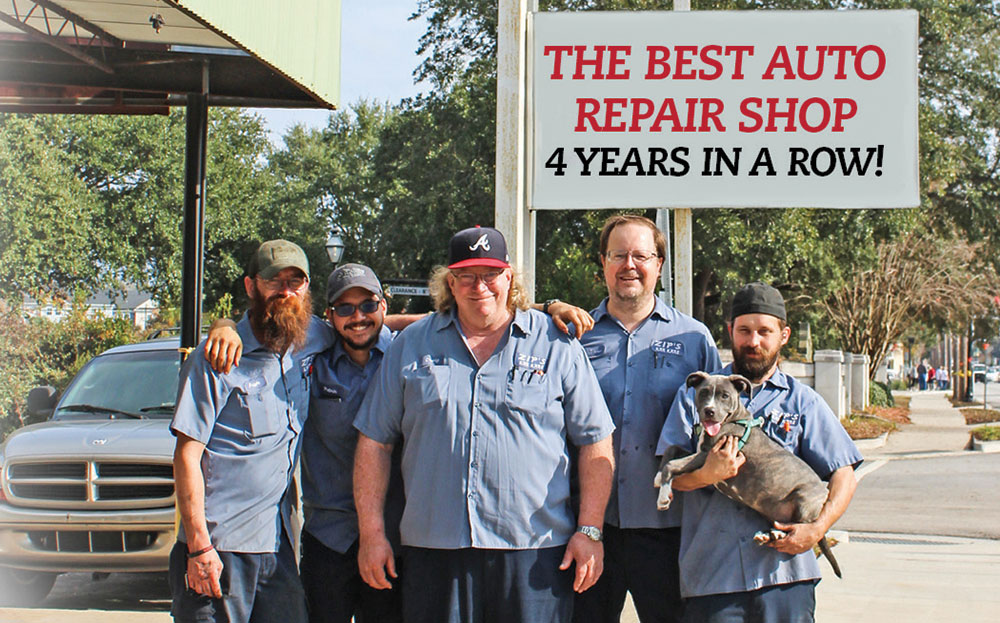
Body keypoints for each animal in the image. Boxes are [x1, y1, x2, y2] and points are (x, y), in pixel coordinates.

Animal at [652, 370, 840, 580]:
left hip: (804, 499)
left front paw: (663, 498)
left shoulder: (706, 456)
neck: (734, 419)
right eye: (704, 392)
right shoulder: (700, 453)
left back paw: (778, 534)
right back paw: (769, 535)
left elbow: (672, 464)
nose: (710, 411)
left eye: (725, 395)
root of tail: (824, 495)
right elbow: (671, 448)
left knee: (799, 528)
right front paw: (659, 478)